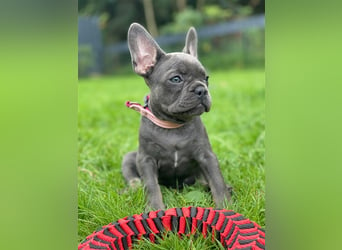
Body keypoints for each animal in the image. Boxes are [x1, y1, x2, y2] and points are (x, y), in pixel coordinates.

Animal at [121, 23, 231, 210]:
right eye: (176, 79)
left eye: (206, 78)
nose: (201, 89)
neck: (173, 124)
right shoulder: (146, 160)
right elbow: (151, 186)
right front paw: (155, 209)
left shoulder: (206, 156)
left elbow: (217, 181)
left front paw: (224, 207)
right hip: (130, 158)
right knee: (134, 179)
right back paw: (132, 189)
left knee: (203, 180)